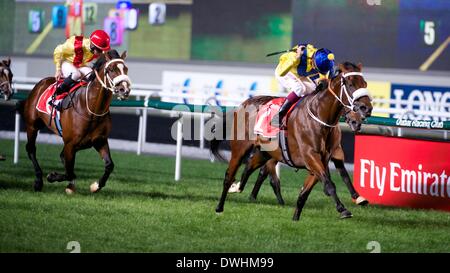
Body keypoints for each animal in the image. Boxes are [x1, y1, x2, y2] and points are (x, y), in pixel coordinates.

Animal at [19, 49, 132, 193]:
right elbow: (69, 172)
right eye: (111, 69)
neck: (91, 109)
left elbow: (109, 165)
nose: (125, 90)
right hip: (32, 125)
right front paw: (51, 176)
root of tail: (40, 84)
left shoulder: (99, 140)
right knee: (31, 149)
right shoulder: (70, 143)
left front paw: (95, 186)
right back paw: (39, 181)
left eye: (126, 69)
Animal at [211, 61, 372, 219]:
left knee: (251, 166)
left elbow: (305, 192)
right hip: (240, 149)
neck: (319, 117)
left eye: (364, 83)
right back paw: (220, 207)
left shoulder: (322, 159)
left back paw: (238, 188)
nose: (366, 109)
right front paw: (342, 209)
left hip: (266, 153)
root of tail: (242, 104)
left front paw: (296, 218)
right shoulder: (310, 156)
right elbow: (329, 183)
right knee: (229, 176)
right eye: (350, 84)